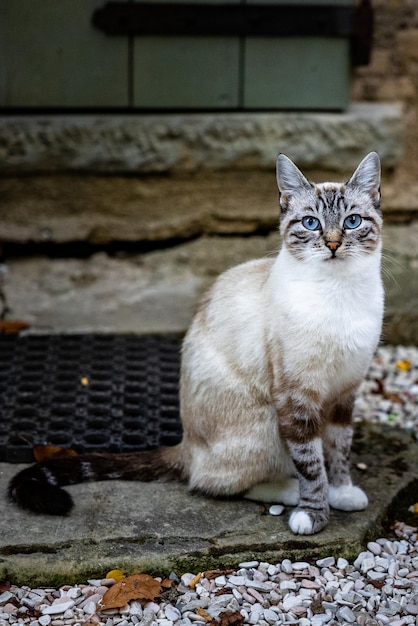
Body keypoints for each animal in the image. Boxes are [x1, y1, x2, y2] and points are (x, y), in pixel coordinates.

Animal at [7, 151, 386, 532]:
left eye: (352, 221)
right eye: (311, 224)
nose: (333, 244)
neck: (338, 294)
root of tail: (184, 443)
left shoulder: (345, 390)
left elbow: (339, 449)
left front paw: (342, 492)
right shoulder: (297, 397)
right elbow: (311, 463)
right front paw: (313, 513)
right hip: (264, 422)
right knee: (213, 481)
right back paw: (288, 491)